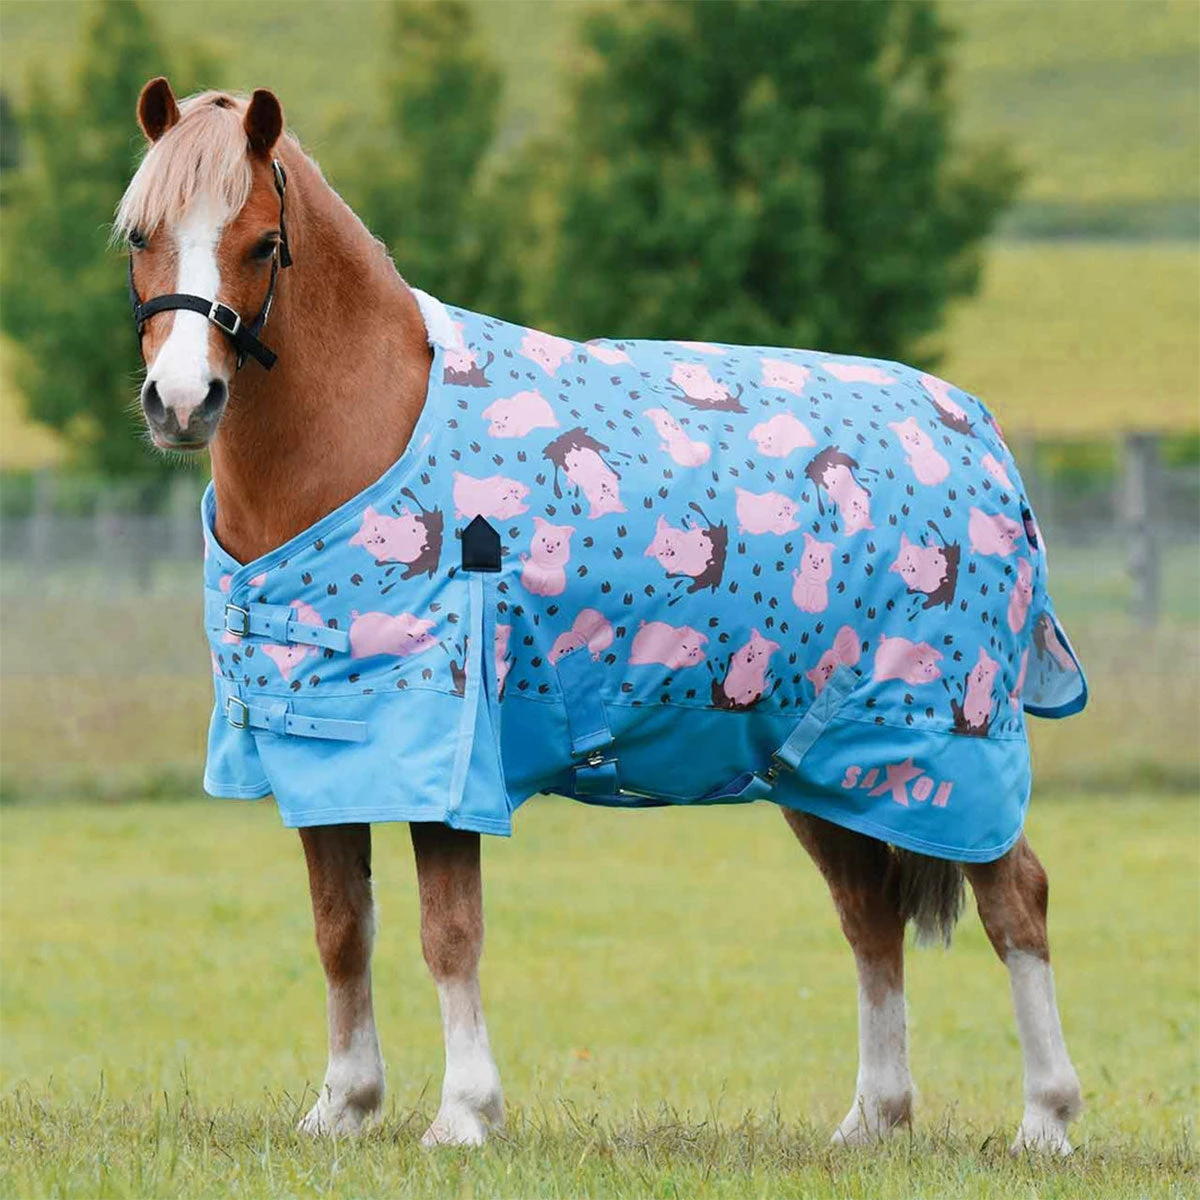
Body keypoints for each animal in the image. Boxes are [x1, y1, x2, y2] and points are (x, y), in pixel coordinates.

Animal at [116, 78, 1085, 1152]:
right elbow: (341, 931)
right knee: (869, 915)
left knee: (1016, 898)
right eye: (141, 234)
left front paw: (463, 1114)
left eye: (259, 244)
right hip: (819, 760)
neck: (362, 437)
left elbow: (448, 932)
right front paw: (343, 1106)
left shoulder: (451, 755)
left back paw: (1045, 1119)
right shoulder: (322, 748)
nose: (182, 402)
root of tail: (979, 433)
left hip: (945, 747)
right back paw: (873, 1120)